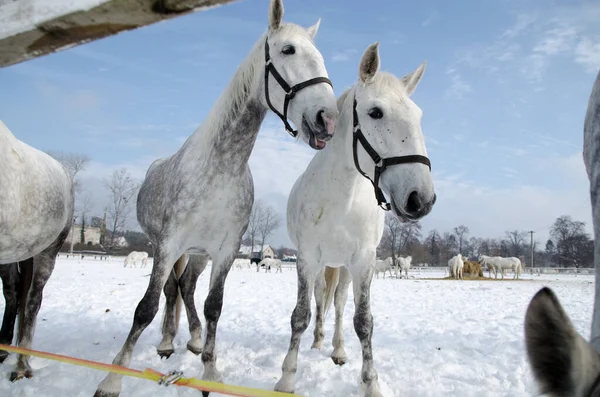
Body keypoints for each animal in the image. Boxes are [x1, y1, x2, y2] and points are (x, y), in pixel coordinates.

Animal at [274, 42, 434, 396]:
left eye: (418, 116)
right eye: (375, 112)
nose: (421, 199)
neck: (341, 197)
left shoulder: (363, 261)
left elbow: (363, 321)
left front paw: (370, 382)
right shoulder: (307, 258)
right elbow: (301, 314)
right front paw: (287, 377)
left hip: (344, 267)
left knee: (337, 304)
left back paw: (336, 348)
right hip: (324, 264)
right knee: (321, 299)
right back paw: (319, 341)